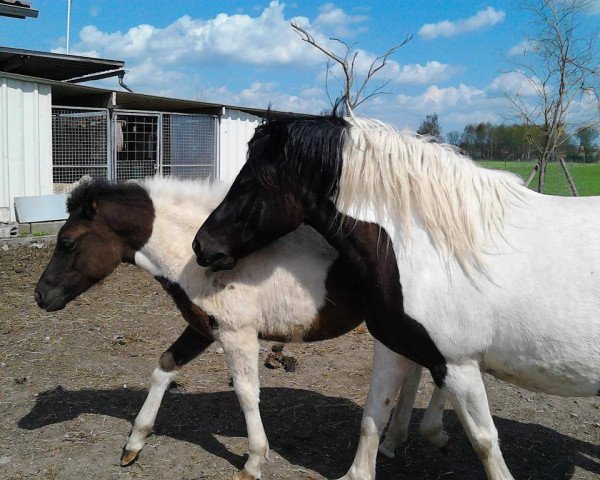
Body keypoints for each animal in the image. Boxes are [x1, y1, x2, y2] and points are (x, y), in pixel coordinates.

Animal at [34, 176, 446, 480]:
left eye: (67, 242)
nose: (40, 296)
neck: (197, 258)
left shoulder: (237, 334)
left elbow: (246, 393)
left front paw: (253, 462)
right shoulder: (203, 329)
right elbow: (164, 368)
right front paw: (134, 443)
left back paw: (431, 431)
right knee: (415, 372)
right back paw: (395, 441)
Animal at [193, 115, 600, 480]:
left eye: (248, 181)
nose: (201, 245)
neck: (431, 252)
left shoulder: (459, 365)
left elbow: (485, 442)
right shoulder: (395, 346)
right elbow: (374, 416)